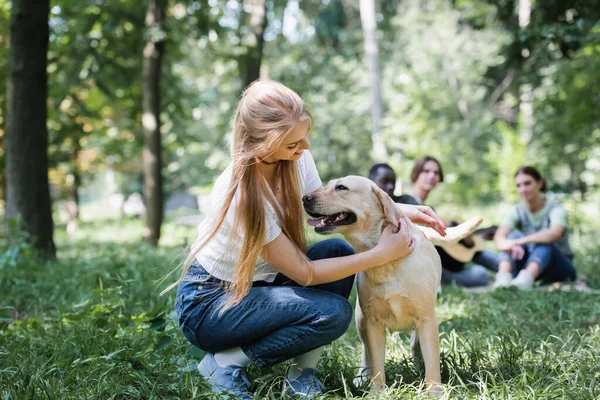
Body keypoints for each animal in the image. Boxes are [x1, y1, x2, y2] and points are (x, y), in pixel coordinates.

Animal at [300, 176, 482, 394]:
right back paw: (363, 377)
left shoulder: (427, 320)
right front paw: (376, 392)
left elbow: (432, 362)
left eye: (341, 187)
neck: (388, 263)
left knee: (415, 345)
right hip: (360, 319)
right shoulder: (373, 323)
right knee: (366, 353)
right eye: (327, 186)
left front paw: (434, 392)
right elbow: (376, 362)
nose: (305, 197)